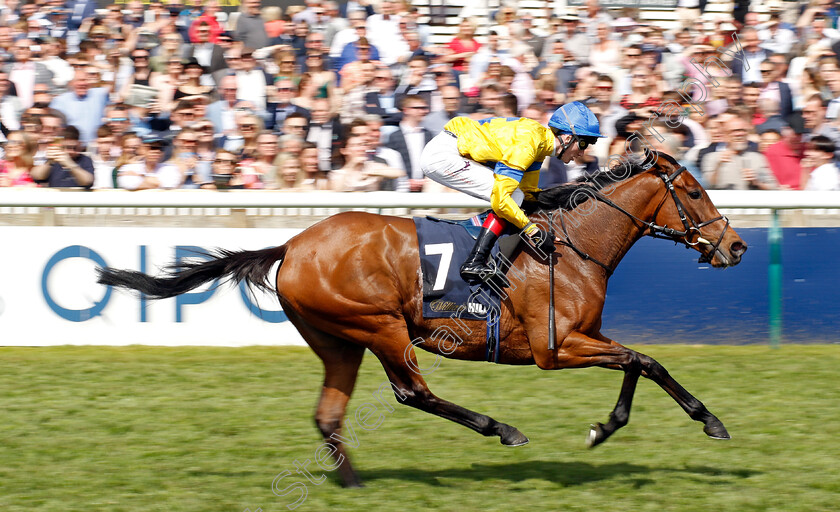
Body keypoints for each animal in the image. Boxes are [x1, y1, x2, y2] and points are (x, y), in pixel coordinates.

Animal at [98, 150, 748, 486]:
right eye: (694, 192)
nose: (736, 246)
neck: (571, 245)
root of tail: (293, 244)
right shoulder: (556, 348)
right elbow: (646, 360)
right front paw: (705, 421)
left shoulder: (582, 336)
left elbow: (641, 361)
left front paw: (609, 427)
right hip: (380, 325)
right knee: (412, 392)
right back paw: (500, 428)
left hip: (338, 340)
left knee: (329, 412)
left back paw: (352, 482)